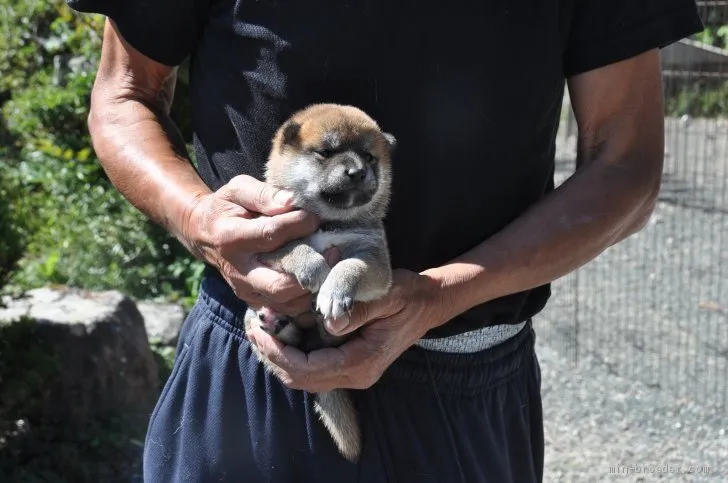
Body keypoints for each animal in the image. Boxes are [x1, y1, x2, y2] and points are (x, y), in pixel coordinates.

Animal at [242, 104, 396, 464]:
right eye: (326, 152)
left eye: (370, 157)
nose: (358, 172)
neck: (328, 223)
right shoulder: (269, 241)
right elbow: (295, 248)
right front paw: (314, 268)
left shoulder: (375, 260)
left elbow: (349, 265)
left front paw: (334, 290)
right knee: (293, 338)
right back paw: (274, 321)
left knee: (326, 338)